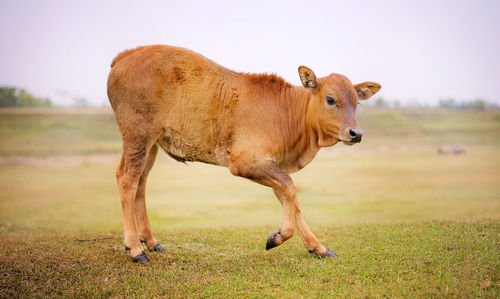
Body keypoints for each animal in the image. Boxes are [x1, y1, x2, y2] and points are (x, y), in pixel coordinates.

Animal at [105, 44, 378, 262]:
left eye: (357, 102)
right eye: (330, 99)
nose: (356, 133)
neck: (289, 112)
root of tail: (124, 56)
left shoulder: (271, 166)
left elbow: (291, 198)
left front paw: (318, 247)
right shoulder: (246, 162)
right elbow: (290, 190)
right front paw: (277, 237)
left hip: (151, 144)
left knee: (138, 182)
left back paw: (151, 242)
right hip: (139, 136)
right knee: (128, 181)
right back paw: (135, 249)